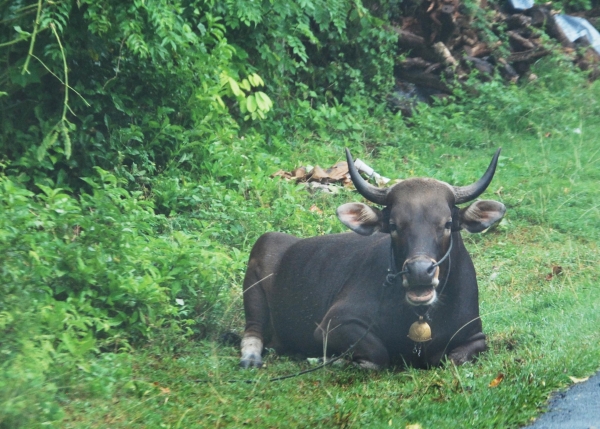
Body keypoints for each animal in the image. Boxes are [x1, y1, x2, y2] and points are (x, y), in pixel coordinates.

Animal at [239, 148, 506, 368]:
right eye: (394, 225)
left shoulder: (475, 335)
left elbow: (454, 356)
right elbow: (378, 352)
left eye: (448, 223)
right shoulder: (333, 324)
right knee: (253, 330)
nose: (419, 272)